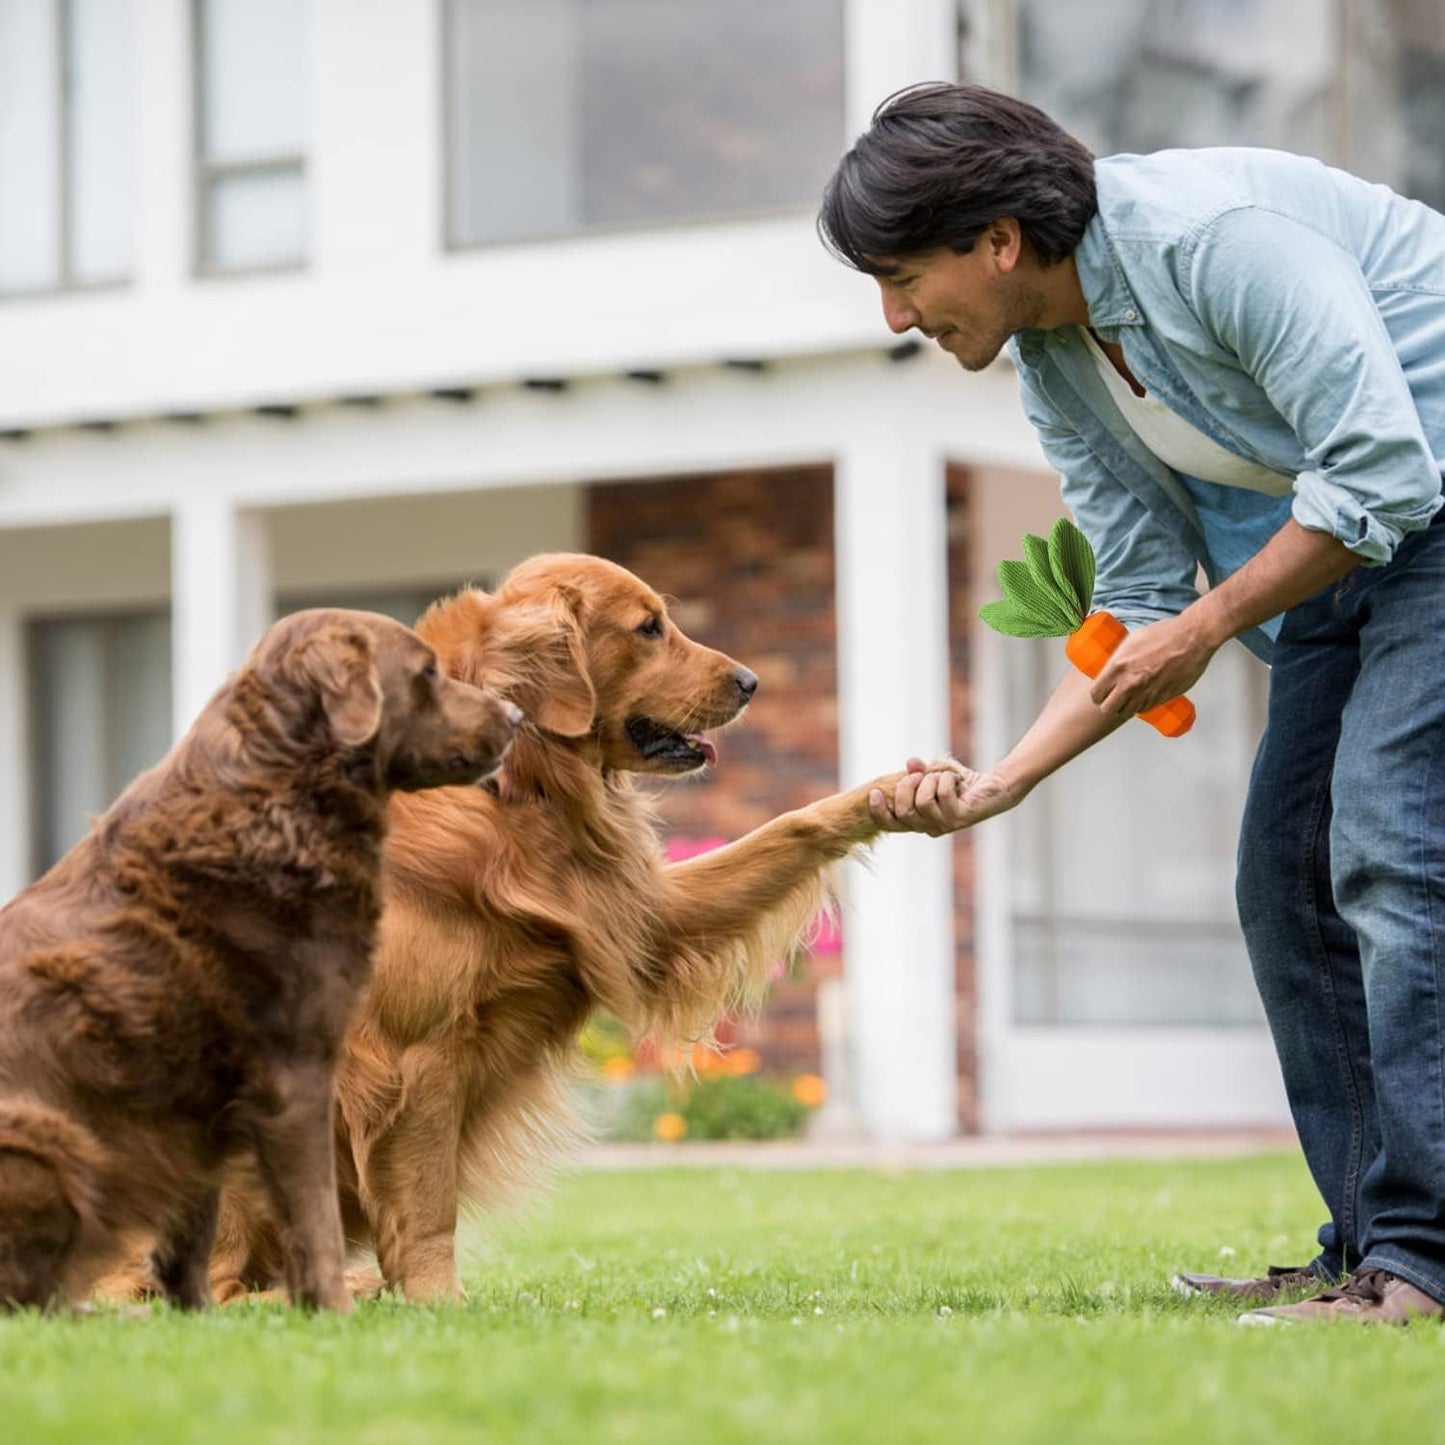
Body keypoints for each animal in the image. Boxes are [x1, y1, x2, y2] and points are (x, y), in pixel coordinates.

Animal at [0, 606, 520, 1312]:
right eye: (428, 672)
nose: (517, 716)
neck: (280, 806)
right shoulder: (293, 1071)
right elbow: (314, 1218)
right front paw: (333, 1311)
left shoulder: (195, 1107)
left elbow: (191, 1240)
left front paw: (196, 1322)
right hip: (53, 1139)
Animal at [206, 557, 924, 1306]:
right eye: (648, 627)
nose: (752, 681)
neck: (511, 793)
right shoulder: (412, 1054)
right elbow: (429, 1208)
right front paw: (440, 1304)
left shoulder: (639, 918)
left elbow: (789, 825)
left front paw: (899, 793)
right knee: (204, 1290)